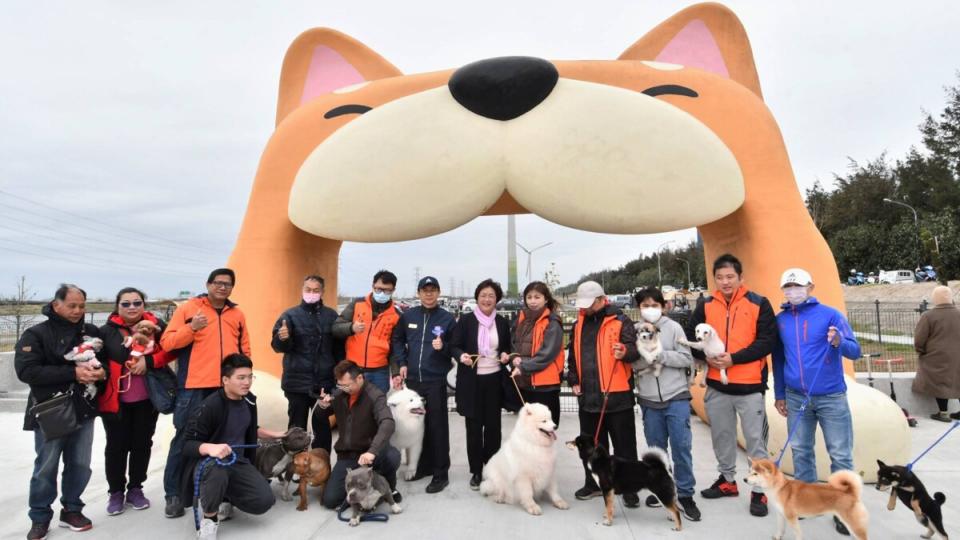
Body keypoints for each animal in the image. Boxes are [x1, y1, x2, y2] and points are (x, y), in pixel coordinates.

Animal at [744, 458, 872, 536]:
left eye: (755, 474)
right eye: (749, 471)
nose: (744, 479)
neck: (780, 488)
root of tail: (851, 492)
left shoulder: (792, 518)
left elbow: (798, 534)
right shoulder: (780, 515)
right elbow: (780, 529)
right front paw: (777, 536)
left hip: (853, 525)